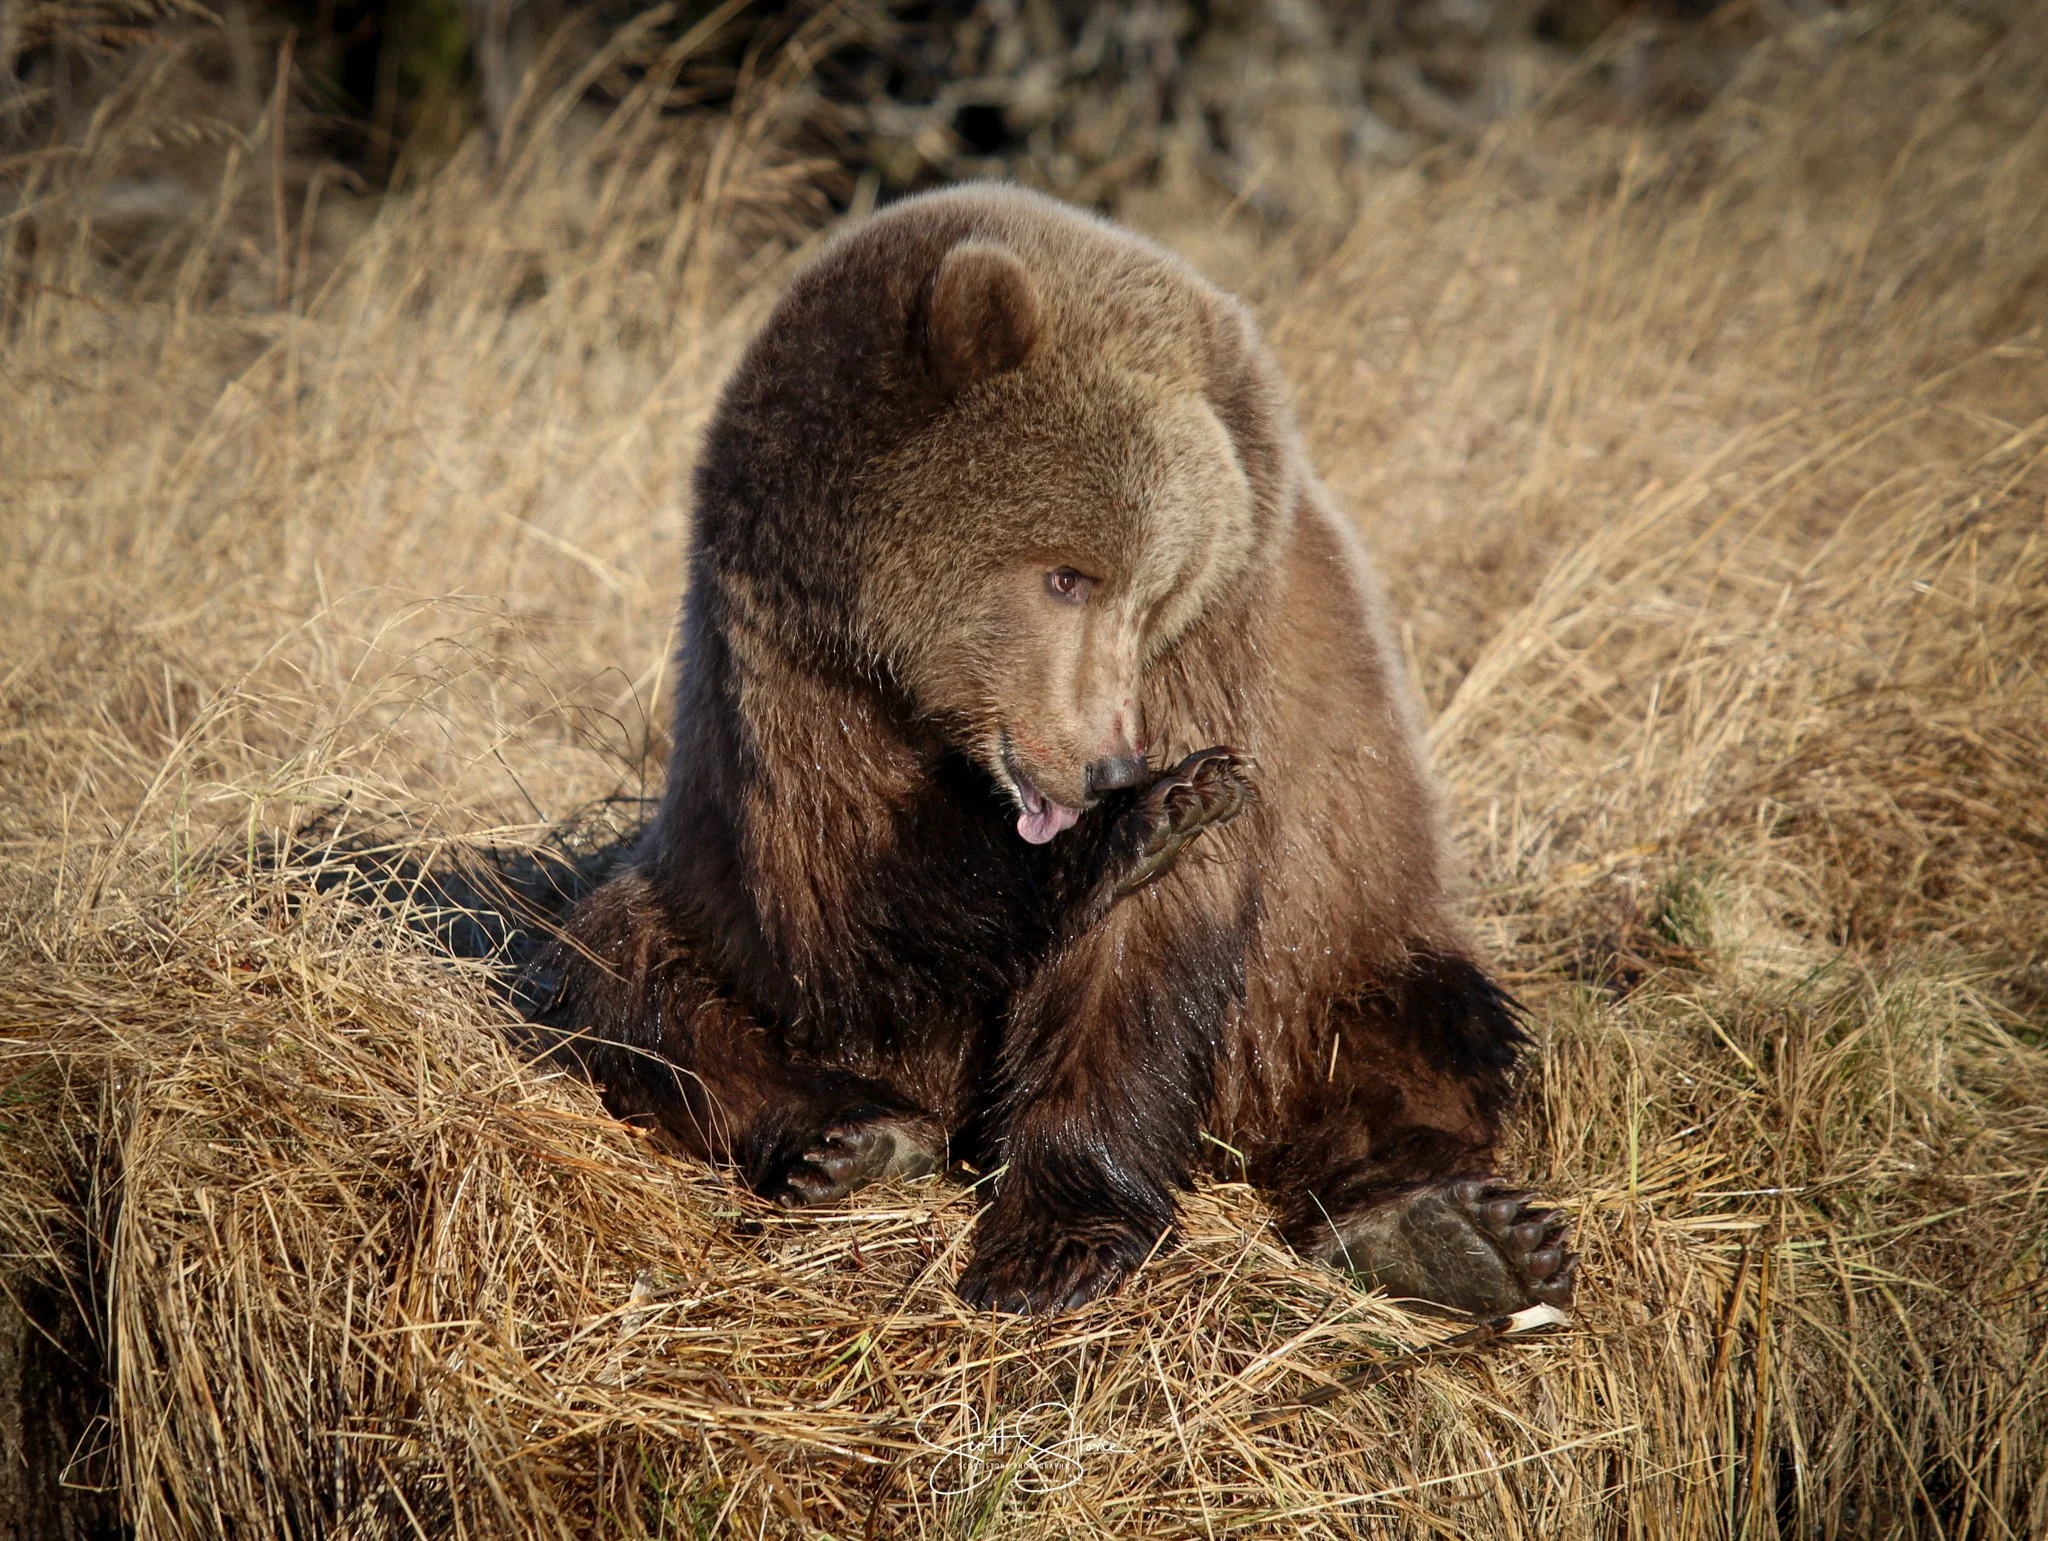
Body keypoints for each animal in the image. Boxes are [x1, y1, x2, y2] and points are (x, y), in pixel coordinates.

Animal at [541, 184, 1576, 1318]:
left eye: (1152, 593)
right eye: (1066, 575)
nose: (1107, 767)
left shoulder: (1218, 649)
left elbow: (1139, 947)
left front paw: (1056, 1237)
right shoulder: (787, 656)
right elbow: (831, 908)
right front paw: (1126, 830)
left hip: (1339, 934)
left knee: (1414, 1028)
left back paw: (1449, 1226)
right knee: (621, 959)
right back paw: (849, 1133)